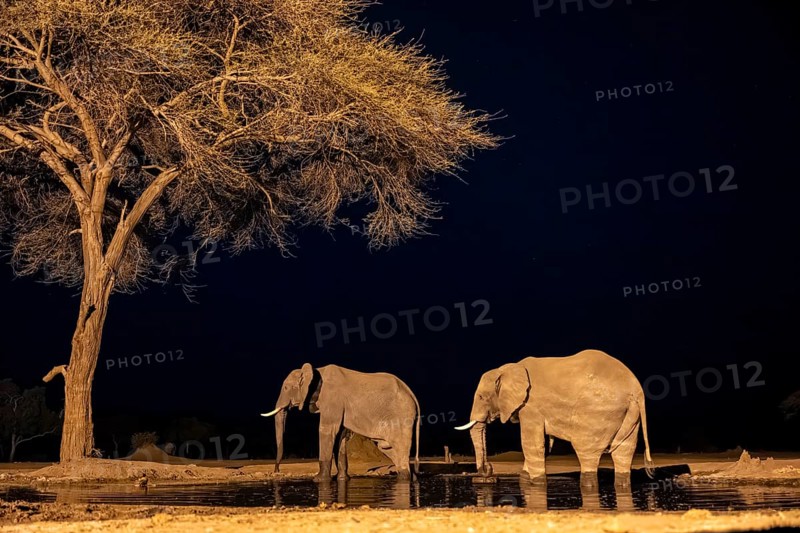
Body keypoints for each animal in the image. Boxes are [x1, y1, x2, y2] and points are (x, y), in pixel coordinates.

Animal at [261, 363, 421, 481]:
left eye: (286, 388)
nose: (276, 470)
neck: (316, 370)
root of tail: (412, 394)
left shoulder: (332, 399)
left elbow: (327, 430)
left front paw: (318, 480)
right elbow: (340, 436)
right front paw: (343, 479)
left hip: (402, 416)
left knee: (398, 447)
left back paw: (404, 478)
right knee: (387, 447)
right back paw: (411, 478)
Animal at [455, 349, 654, 487]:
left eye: (482, 397)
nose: (488, 472)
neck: (508, 368)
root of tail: (636, 390)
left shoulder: (531, 406)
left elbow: (532, 443)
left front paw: (536, 483)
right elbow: (542, 444)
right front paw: (525, 479)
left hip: (596, 412)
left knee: (586, 451)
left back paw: (588, 484)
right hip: (629, 413)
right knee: (623, 451)